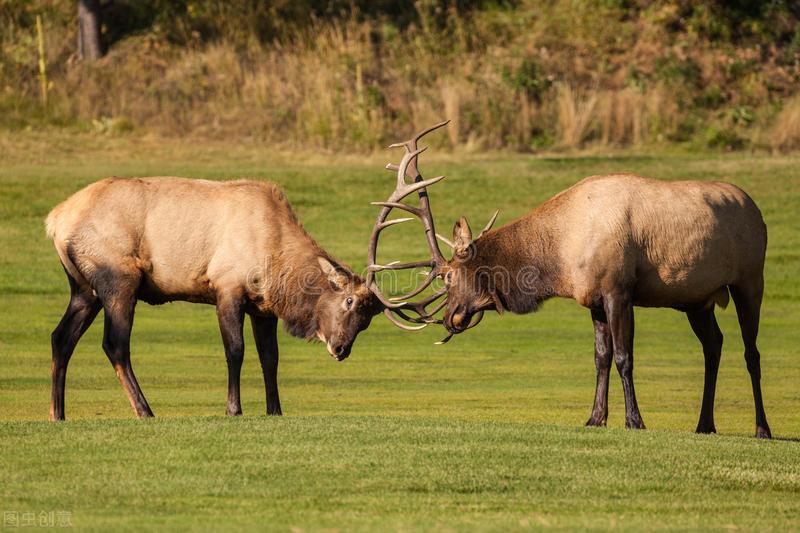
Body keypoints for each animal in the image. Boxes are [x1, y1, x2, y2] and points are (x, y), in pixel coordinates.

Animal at [45, 178, 382, 420]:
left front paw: (275, 409)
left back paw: (57, 413)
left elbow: (270, 357)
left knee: (61, 337)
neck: (277, 261)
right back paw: (145, 410)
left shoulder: (263, 308)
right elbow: (235, 350)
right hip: (119, 279)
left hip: (83, 290)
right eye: (349, 302)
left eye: (367, 320)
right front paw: (233, 409)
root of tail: (55, 221)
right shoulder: (227, 288)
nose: (341, 349)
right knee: (114, 343)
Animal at [372, 122, 772, 438]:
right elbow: (601, 357)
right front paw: (595, 417)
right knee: (714, 345)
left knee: (751, 351)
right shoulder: (592, 299)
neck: (559, 255)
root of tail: (757, 209)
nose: (449, 317)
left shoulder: (618, 289)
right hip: (697, 299)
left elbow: (624, 356)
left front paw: (634, 421)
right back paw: (704, 424)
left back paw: (762, 428)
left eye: (450, 276)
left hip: (750, 279)